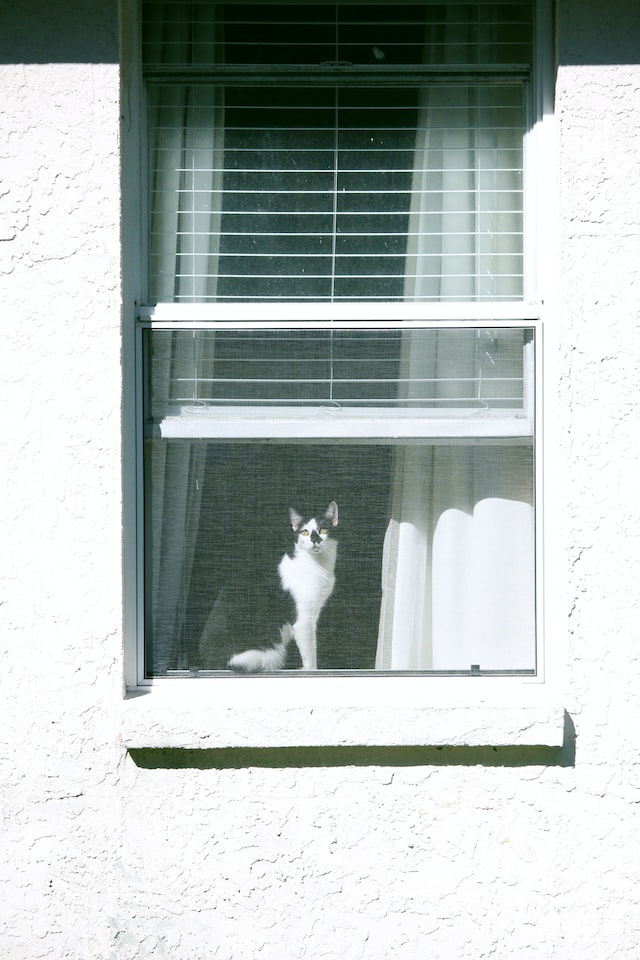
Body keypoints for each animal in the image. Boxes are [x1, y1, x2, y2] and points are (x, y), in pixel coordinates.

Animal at [226, 502, 340, 676]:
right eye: (305, 532)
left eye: (323, 530)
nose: (315, 540)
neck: (319, 566)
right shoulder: (303, 621)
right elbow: (310, 653)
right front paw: (311, 671)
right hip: (269, 654)